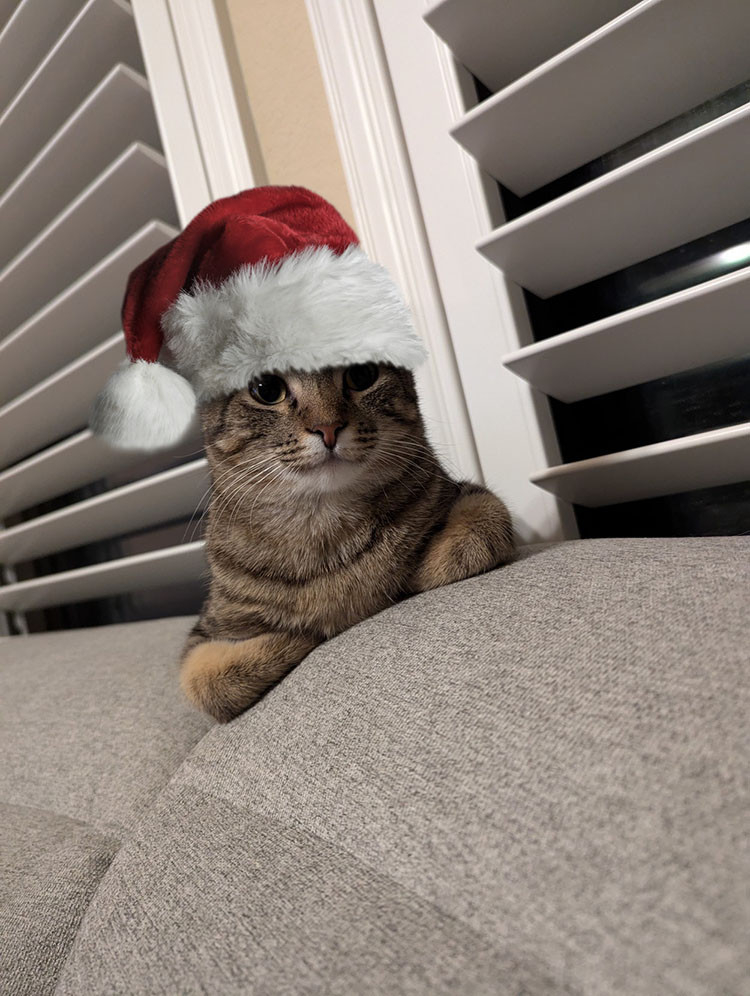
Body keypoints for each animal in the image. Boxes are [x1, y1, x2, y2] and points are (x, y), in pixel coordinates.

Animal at [181, 362, 516, 720]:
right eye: (266, 388)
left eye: (362, 373)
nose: (328, 428)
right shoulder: (205, 631)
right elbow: (206, 683)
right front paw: (304, 633)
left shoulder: (469, 497)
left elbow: (478, 533)